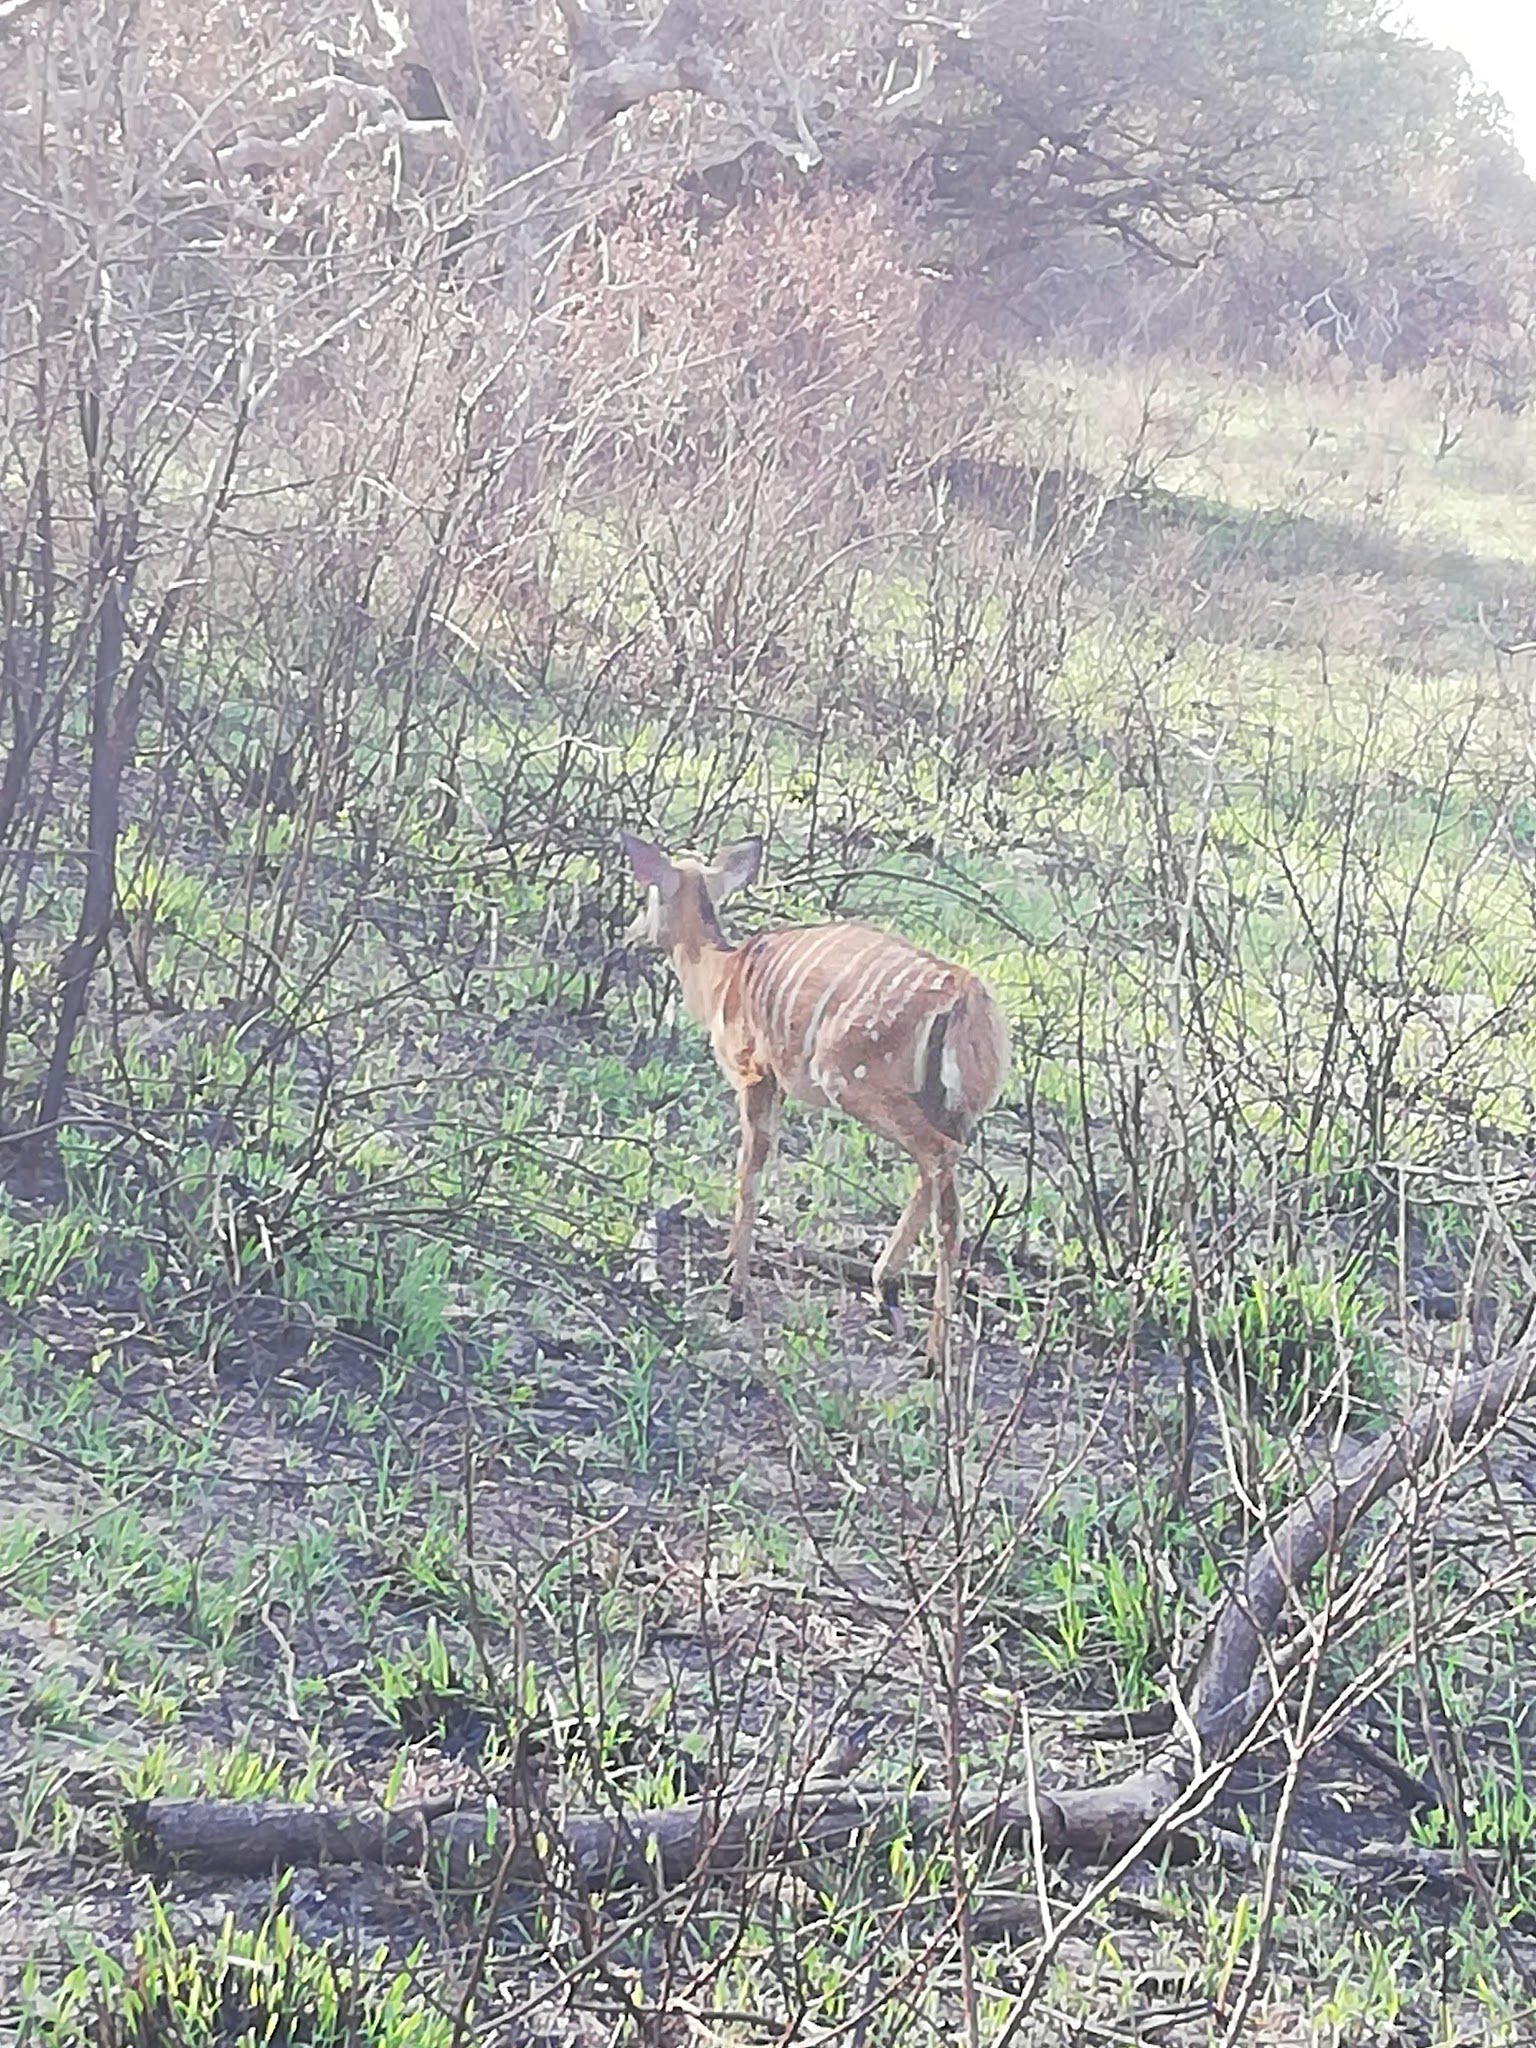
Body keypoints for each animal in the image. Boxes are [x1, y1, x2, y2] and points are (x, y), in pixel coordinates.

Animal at [618, 823, 1015, 1368]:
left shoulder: (755, 1071)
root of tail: (967, 1000)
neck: (719, 977)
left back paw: (933, 1349)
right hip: (960, 1105)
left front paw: (734, 1288)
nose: (631, 931)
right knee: (943, 1176)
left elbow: (750, 1171)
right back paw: (892, 1295)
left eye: (649, 895)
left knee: (938, 1162)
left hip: (851, 1075)